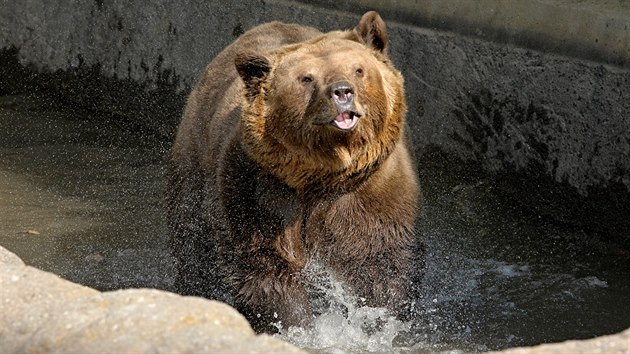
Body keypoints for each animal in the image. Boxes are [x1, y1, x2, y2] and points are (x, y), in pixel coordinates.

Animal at [168, 11, 424, 332]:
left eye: (358, 70)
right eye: (307, 78)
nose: (342, 92)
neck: (324, 174)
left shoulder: (374, 193)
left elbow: (377, 264)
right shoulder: (260, 190)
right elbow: (267, 268)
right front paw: (301, 326)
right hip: (195, 163)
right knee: (192, 241)